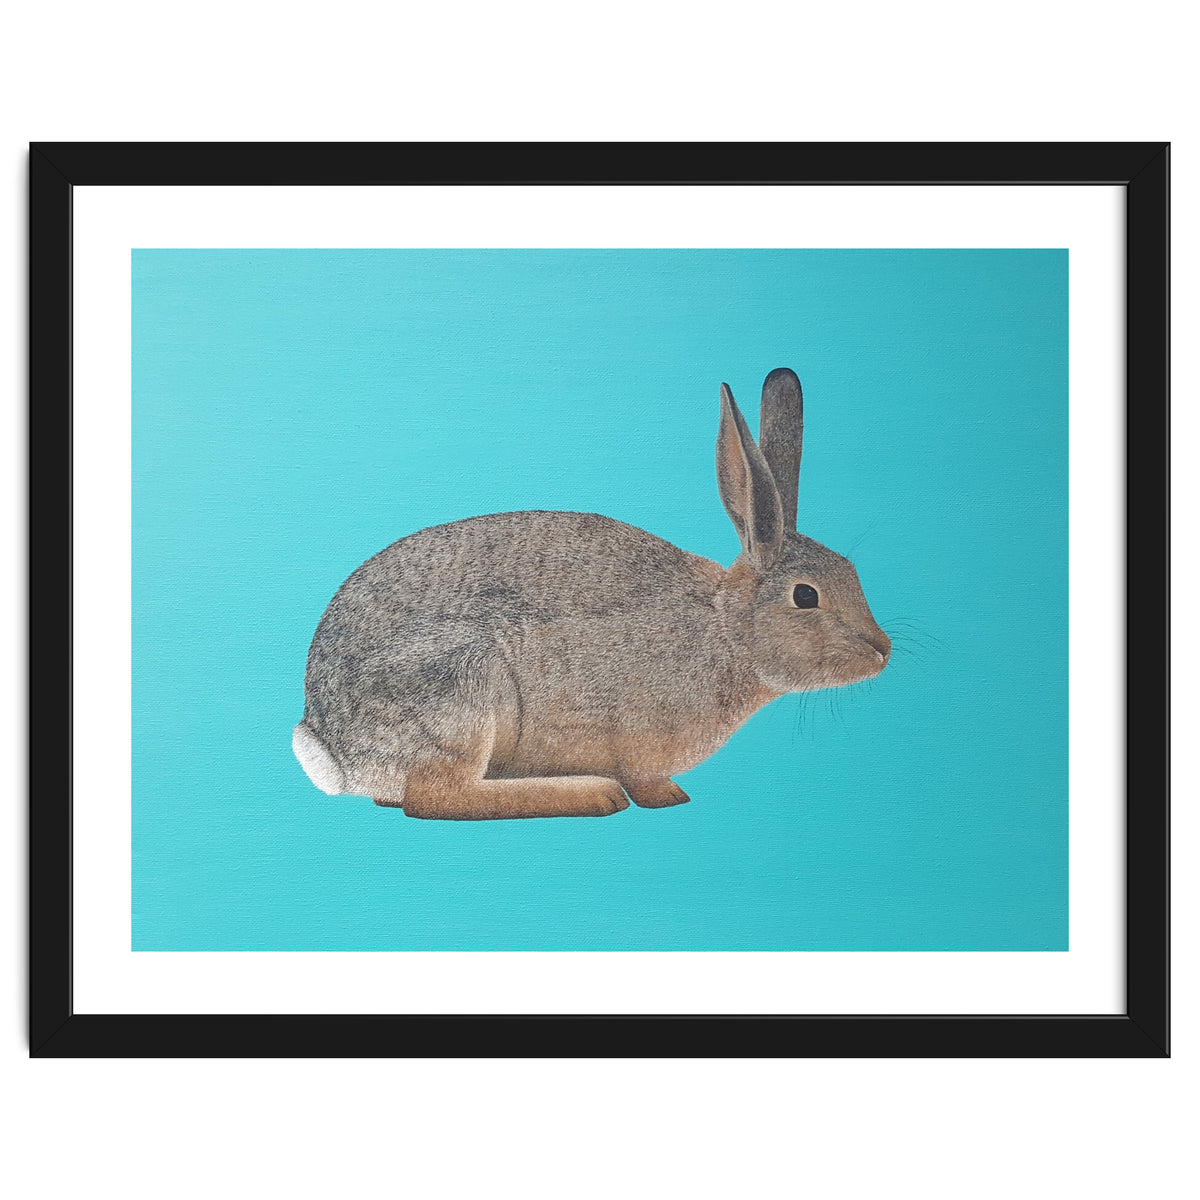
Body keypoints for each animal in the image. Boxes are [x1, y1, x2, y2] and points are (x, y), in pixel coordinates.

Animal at [293, 368, 890, 819]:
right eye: (806, 597)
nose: (882, 650)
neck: (727, 629)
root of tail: (333, 747)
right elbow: (645, 780)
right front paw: (666, 797)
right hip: (462, 685)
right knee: (435, 797)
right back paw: (592, 793)